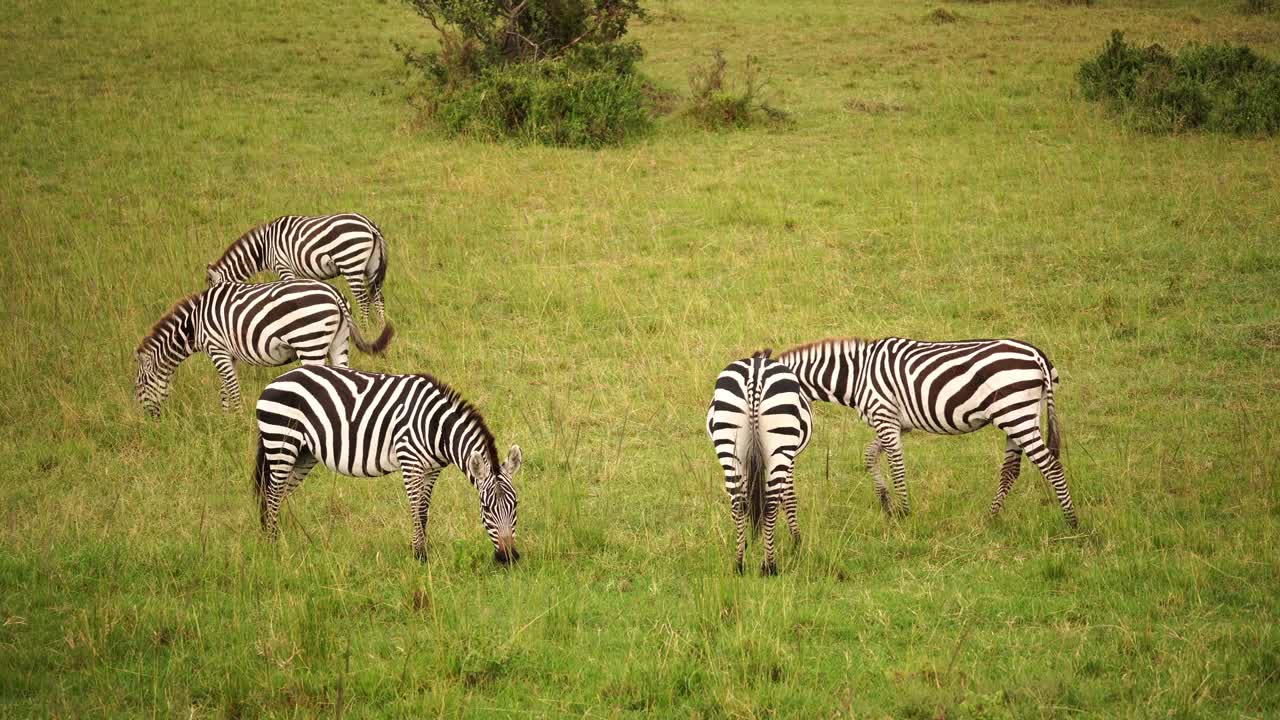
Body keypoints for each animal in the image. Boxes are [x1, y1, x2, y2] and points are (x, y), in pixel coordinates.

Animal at [135, 279, 391, 415]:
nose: (150, 422)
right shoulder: (229, 354)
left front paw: (237, 419)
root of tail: (333, 293)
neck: (194, 324)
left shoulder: (217, 349)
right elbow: (224, 388)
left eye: (139, 386)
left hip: (310, 341)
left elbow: (231, 387)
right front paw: (225, 418)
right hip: (339, 341)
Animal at [204, 212, 389, 325]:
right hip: (372, 266)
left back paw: (365, 328)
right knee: (378, 297)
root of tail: (369, 224)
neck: (263, 248)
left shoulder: (284, 267)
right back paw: (381, 326)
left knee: (363, 299)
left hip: (350, 262)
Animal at [253, 363, 519, 561]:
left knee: (277, 493)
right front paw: (419, 556)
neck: (437, 427)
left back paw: (277, 538)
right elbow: (415, 509)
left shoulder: (432, 470)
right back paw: (273, 546)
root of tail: (275, 381)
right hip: (281, 443)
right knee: (273, 493)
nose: (509, 558)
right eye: (486, 509)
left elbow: (424, 511)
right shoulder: (410, 461)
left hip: (304, 454)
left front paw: (422, 549)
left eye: (515, 506)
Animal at [706, 348, 814, 571]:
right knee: (771, 505)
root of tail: (755, 378)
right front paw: (796, 541)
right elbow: (789, 498)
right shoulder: (790, 459)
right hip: (780, 444)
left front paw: (747, 542)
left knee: (738, 503)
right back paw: (769, 566)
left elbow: (748, 498)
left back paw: (739, 564)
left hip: (730, 445)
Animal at [773, 335, 1075, 527]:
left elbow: (896, 465)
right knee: (1011, 470)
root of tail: (1037, 356)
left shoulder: (885, 417)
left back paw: (1072, 521)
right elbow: (869, 456)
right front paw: (886, 503)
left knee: (1051, 465)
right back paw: (990, 519)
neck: (856, 376)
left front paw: (905, 512)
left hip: (1016, 414)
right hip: (1019, 415)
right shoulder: (898, 423)